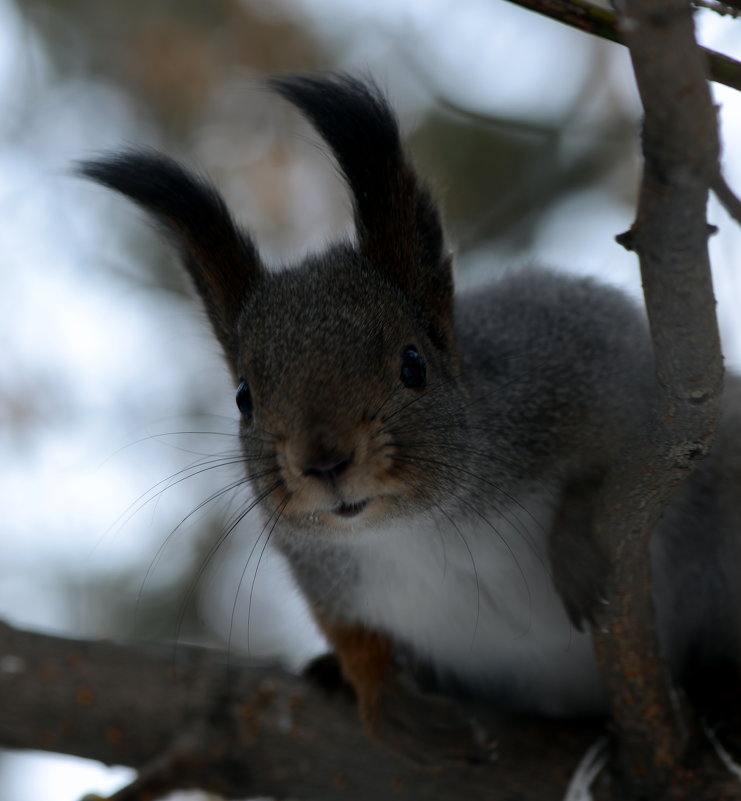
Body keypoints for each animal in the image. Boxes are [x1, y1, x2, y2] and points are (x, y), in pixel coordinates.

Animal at [76, 75, 740, 764]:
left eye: (413, 364)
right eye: (243, 397)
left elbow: (628, 446)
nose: (325, 462)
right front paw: (379, 692)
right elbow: (351, 633)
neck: (413, 527)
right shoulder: (319, 566)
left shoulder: (586, 360)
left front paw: (577, 538)